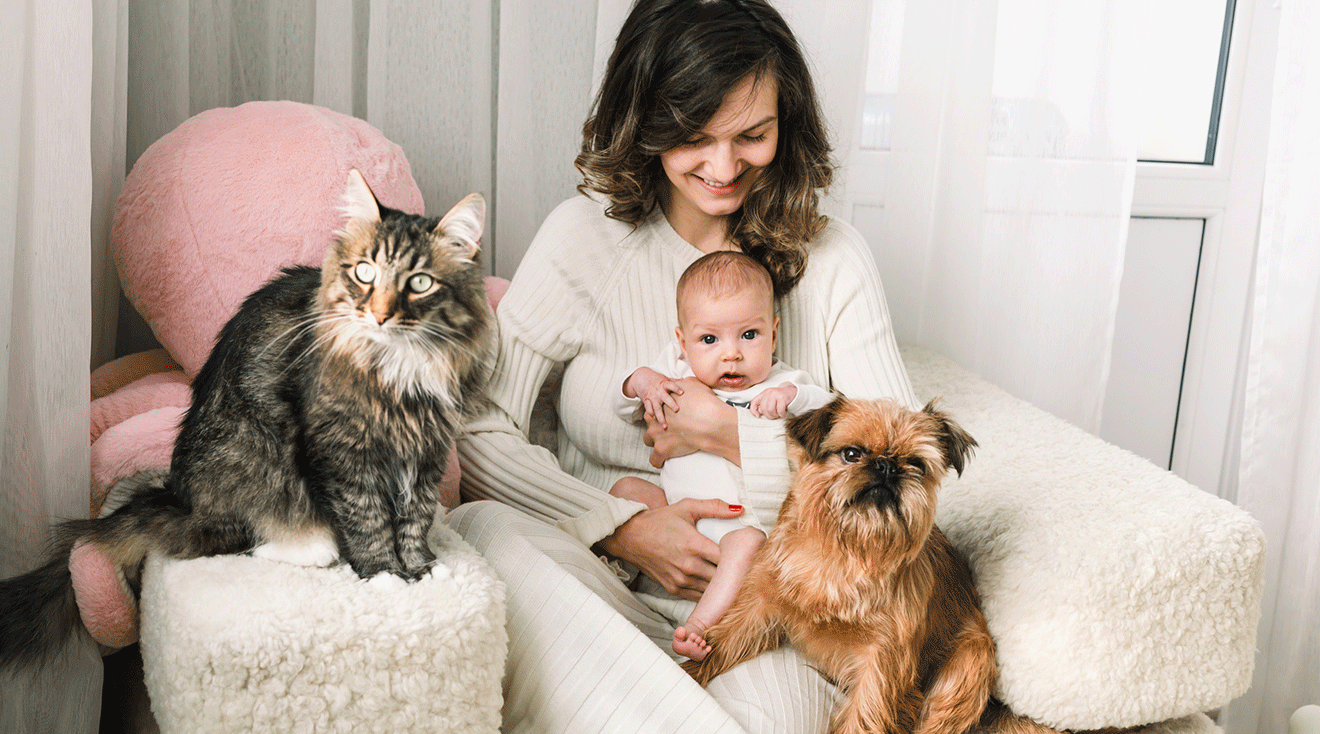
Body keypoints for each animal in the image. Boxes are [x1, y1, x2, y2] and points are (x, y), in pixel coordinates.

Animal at [0, 170, 496, 670]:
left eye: (420, 283)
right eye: (364, 273)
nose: (378, 315)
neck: (399, 371)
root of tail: (178, 500)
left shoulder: (427, 450)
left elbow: (415, 516)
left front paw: (423, 569)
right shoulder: (342, 451)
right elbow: (368, 520)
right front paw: (386, 576)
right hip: (258, 463)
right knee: (234, 540)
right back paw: (316, 549)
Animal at [681, 398, 997, 734]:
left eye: (917, 464)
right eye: (851, 454)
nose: (887, 467)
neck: (845, 552)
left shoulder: (881, 665)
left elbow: (863, 717)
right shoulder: (758, 605)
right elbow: (723, 640)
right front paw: (686, 668)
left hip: (971, 662)